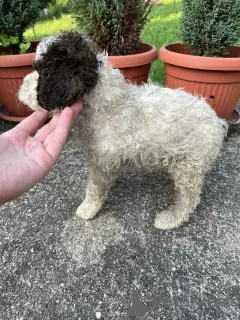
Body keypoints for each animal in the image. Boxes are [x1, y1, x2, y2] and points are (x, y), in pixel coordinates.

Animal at [18, 31, 227, 229]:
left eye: (41, 71)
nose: (20, 88)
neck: (102, 103)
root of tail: (217, 122)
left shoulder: (101, 161)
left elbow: (95, 188)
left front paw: (88, 208)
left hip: (188, 166)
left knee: (189, 198)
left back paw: (171, 218)